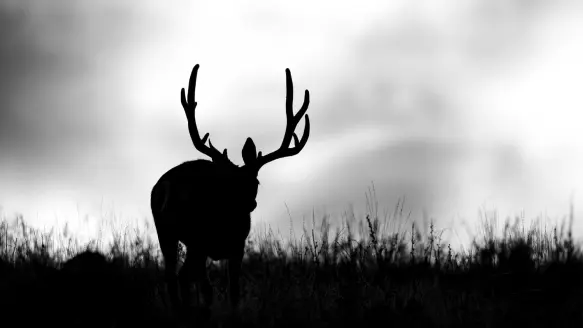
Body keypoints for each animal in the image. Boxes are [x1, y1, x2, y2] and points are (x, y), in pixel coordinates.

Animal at [153, 62, 312, 312]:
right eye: (230, 181)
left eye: (256, 181)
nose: (249, 203)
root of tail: (166, 185)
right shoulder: (233, 245)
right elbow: (229, 291)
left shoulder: (232, 247)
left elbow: (226, 290)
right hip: (196, 236)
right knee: (183, 277)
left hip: (167, 233)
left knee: (172, 276)